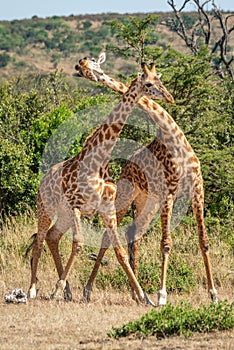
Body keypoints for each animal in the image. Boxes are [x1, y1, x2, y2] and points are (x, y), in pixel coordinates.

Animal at [27, 58, 174, 304]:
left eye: (159, 80)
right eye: (150, 83)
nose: (169, 97)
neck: (98, 162)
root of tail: (44, 179)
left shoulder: (107, 209)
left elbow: (120, 251)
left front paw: (143, 296)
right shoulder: (76, 206)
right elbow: (78, 244)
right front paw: (56, 289)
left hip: (63, 215)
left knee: (52, 237)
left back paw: (67, 292)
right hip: (45, 208)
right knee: (39, 242)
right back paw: (33, 290)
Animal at [73, 52, 218, 306]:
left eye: (158, 80)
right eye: (148, 83)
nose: (79, 67)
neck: (174, 139)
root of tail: (126, 167)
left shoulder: (197, 191)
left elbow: (204, 241)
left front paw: (213, 294)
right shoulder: (169, 193)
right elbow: (166, 244)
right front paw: (162, 295)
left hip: (147, 203)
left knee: (135, 236)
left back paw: (136, 293)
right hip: (126, 198)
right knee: (109, 236)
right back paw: (89, 290)